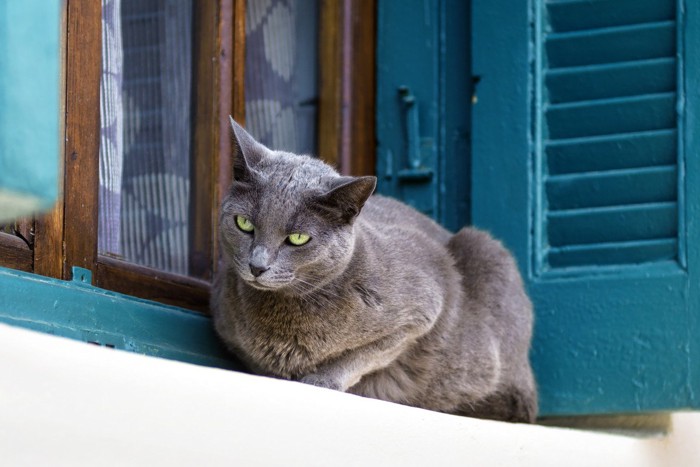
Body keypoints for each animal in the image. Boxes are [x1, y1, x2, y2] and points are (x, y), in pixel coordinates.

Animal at [211, 118, 540, 424]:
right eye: (244, 224)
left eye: (298, 239)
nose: (257, 266)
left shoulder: (425, 305)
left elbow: (367, 354)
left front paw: (322, 380)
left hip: (487, 253)